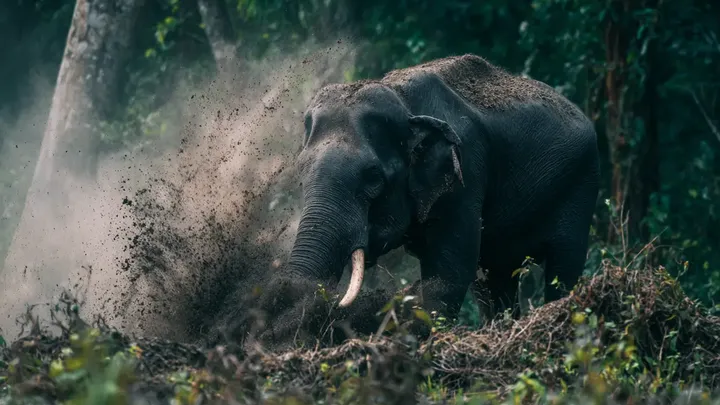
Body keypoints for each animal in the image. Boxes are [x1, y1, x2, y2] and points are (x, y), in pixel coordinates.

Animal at [278, 54, 600, 326]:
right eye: (301, 171)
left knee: (564, 266)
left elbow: (450, 271)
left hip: (581, 185)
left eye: (372, 176)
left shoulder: (465, 173)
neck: (401, 100)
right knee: (494, 279)